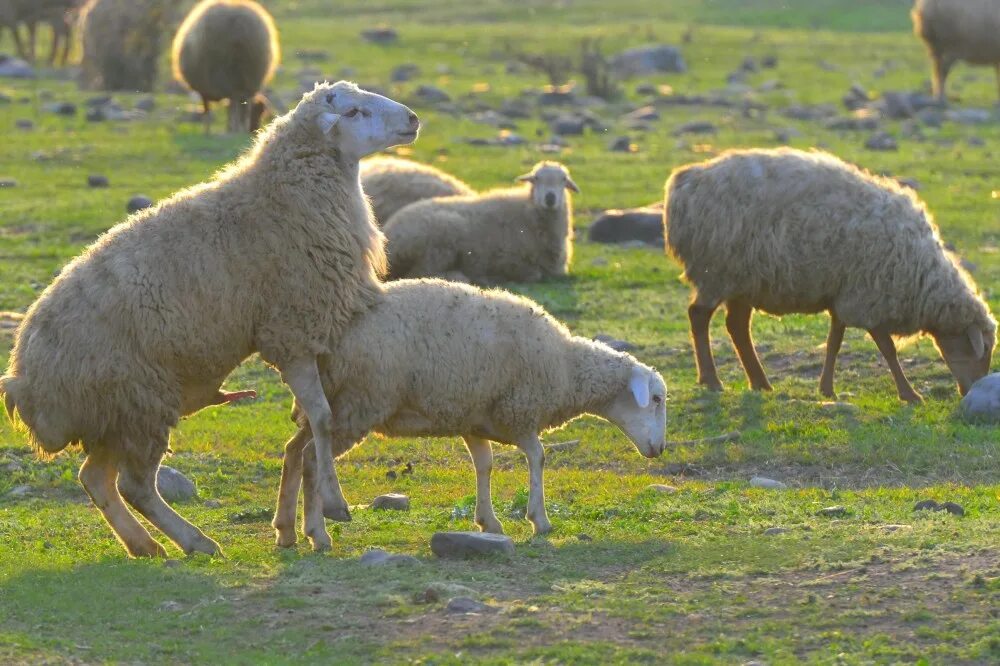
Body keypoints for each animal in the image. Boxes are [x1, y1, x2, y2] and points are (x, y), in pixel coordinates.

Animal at [0, 80, 422, 556]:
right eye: (352, 112)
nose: (412, 119)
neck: (284, 196)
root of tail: (24, 379)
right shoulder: (290, 331)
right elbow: (321, 418)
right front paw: (330, 508)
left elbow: (312, 423)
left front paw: (301, 523)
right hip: (137, 397)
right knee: (134, 485)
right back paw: (194, 541)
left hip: (117, 410)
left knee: (96, 479)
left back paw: (146, 545)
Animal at [172, 0, 282, 135]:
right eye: (259, 113)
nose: (254, 130)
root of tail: (238, 25)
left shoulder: (205, 87)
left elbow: (210, 110)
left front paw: (210, 131)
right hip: (246, 77)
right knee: (241, 105)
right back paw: (238, 128)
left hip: (229, 75)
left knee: (235, 104)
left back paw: (235, 129)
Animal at [270, 276, 668, 548]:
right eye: (657, 399)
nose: (660, 449)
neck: (566, 367)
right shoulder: (518, 411)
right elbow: (538, 457)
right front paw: (539, 520)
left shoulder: (475, 417)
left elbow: (485, 465)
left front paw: (488, 521)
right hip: (358, 404)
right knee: (312, 457)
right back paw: (318, 533)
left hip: (332, 403)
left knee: (293, 452)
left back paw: (285, 529)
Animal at [382, 161, 580, 286]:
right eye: (536, 178)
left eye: (564, 179)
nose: (550, 198)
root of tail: (389, 229)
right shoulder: (509, 260)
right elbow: (534, 274)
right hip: (441, 239)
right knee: (418, 273)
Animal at [660, 147, 996, 402]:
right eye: (979, 351)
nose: (970, 392)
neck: (921, 276)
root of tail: (683, 182)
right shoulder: (868, 296)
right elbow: (886, 348)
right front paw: (910, 394)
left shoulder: (845, 294)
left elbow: (835, 341)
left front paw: (826, 389)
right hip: (717, 271)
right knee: (699, 316)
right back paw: (711, 380)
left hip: (744, 279)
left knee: (737, 327)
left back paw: (760, 383)